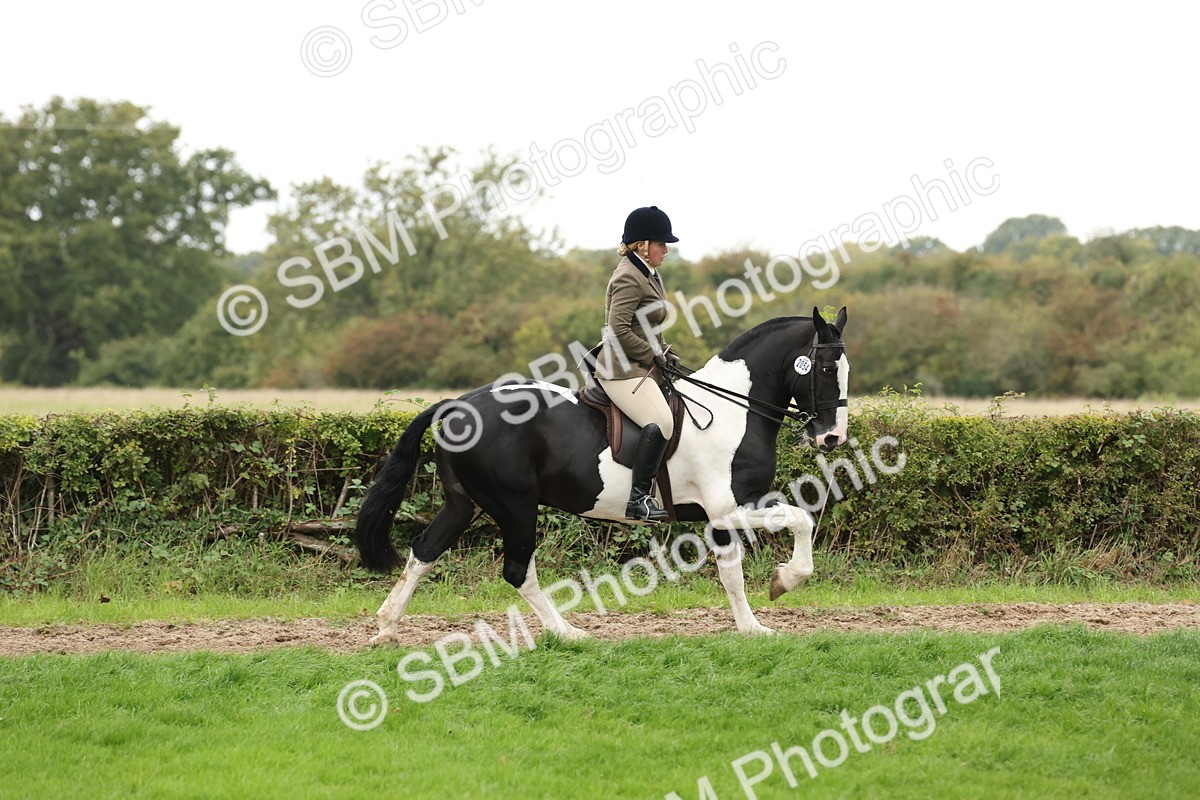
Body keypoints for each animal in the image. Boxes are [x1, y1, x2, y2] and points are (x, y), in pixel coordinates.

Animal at [354, 307, 850, 642]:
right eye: (827, 368)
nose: (832, 438)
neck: (733, 410)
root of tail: (458, 405)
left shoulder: (730, 510)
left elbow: (735, 569)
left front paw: (753, 623)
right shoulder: (728, 507)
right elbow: (797, 523)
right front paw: (782, 586)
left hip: (466, 503)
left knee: (424, 551)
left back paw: (385, 626)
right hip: (515, 506)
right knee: (517, 571)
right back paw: (568, 633)